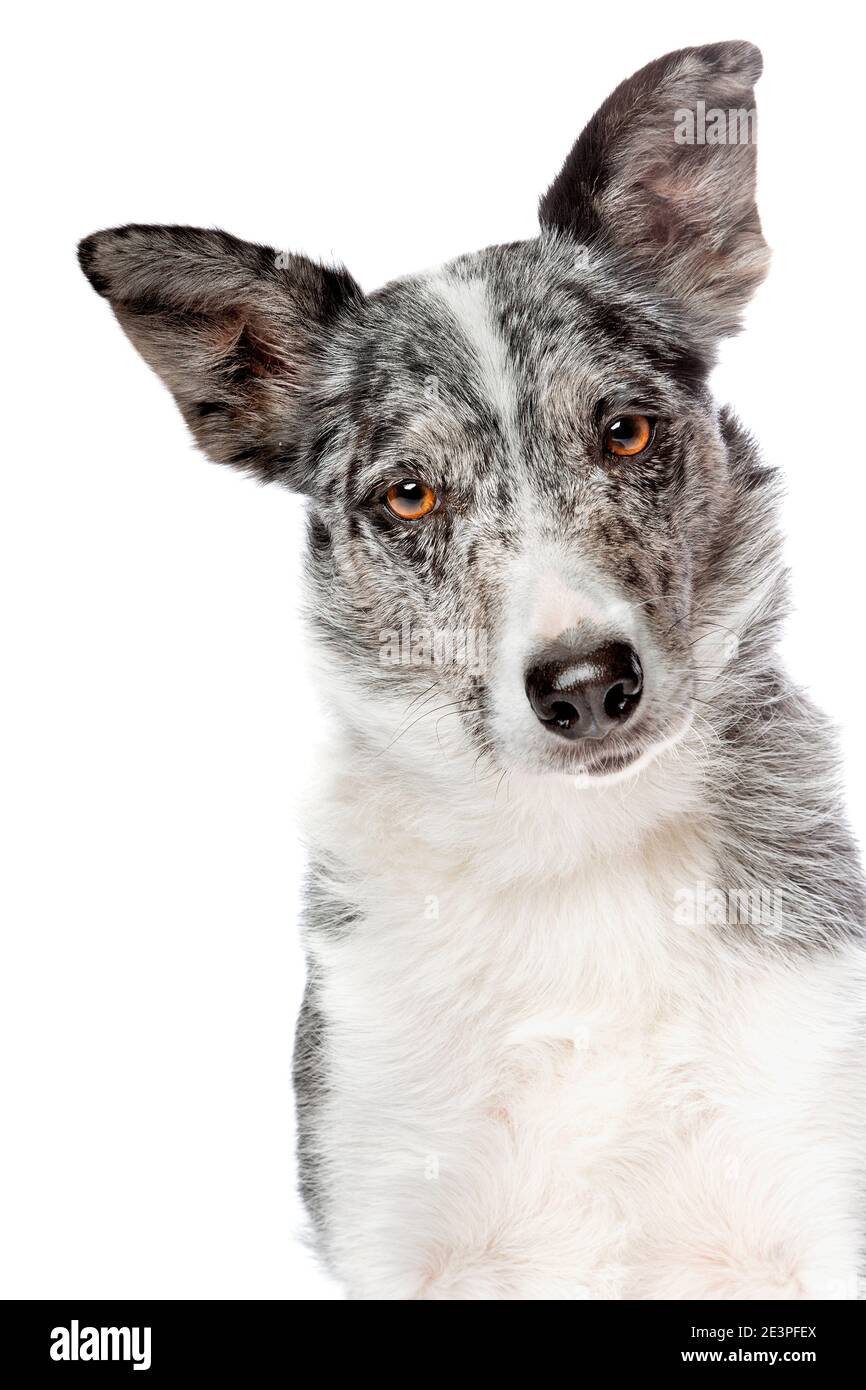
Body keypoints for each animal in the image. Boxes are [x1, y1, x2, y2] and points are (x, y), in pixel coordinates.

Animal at [81, 40, 866, 1301]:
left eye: (625, 432)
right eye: (409, 495)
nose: (586, 683)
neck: (574, 856)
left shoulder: (820, 1180)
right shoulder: (391, 1218)